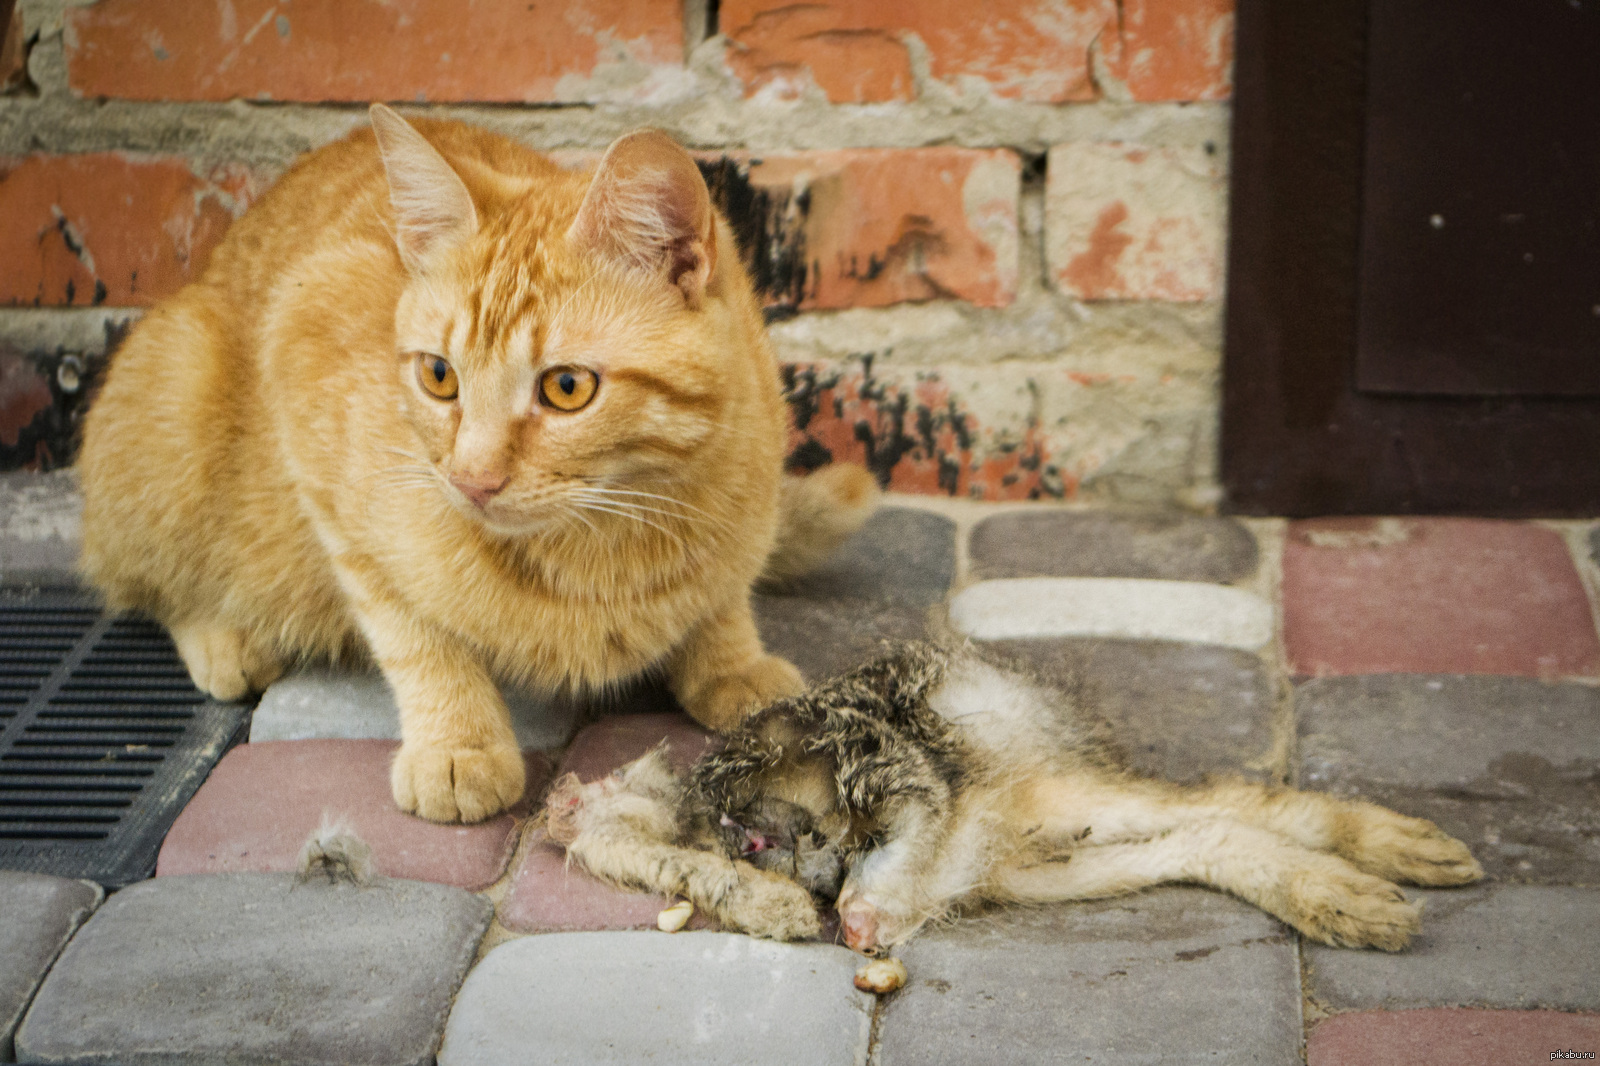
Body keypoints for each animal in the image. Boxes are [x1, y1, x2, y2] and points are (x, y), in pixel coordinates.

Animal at [75, 104, 876, 819]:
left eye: (566, 388)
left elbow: (724, 594)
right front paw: (457, 743)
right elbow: (411, 627)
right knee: (140, 580)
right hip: (178, 381)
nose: (470, 480)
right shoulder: (312, 412)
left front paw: (730, 659)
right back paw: (223, 636)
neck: (619, 538)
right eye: (439, 376)